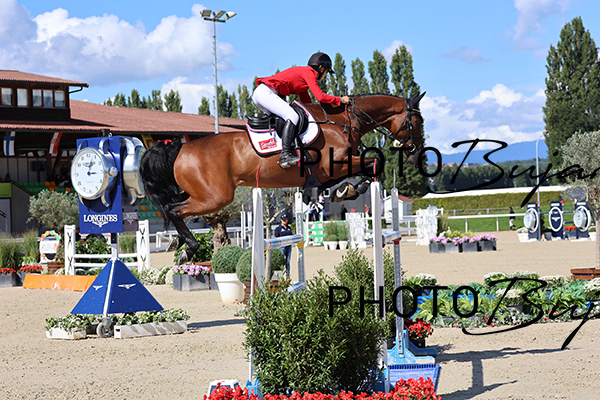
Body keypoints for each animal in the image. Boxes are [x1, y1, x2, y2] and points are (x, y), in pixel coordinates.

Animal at [139, 92, 426, 264]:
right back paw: (187, 247)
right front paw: (349, 190)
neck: (342, 122)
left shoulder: (330, 170)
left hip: (204, 195)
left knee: (173, 207)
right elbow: (375, 162)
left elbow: (354, 172)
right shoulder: (336, 164)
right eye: (418, 122)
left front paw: (338, 191)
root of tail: (179, 148)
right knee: (173, 209)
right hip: (215, 197)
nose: (416, 154)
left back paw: (177, 242)